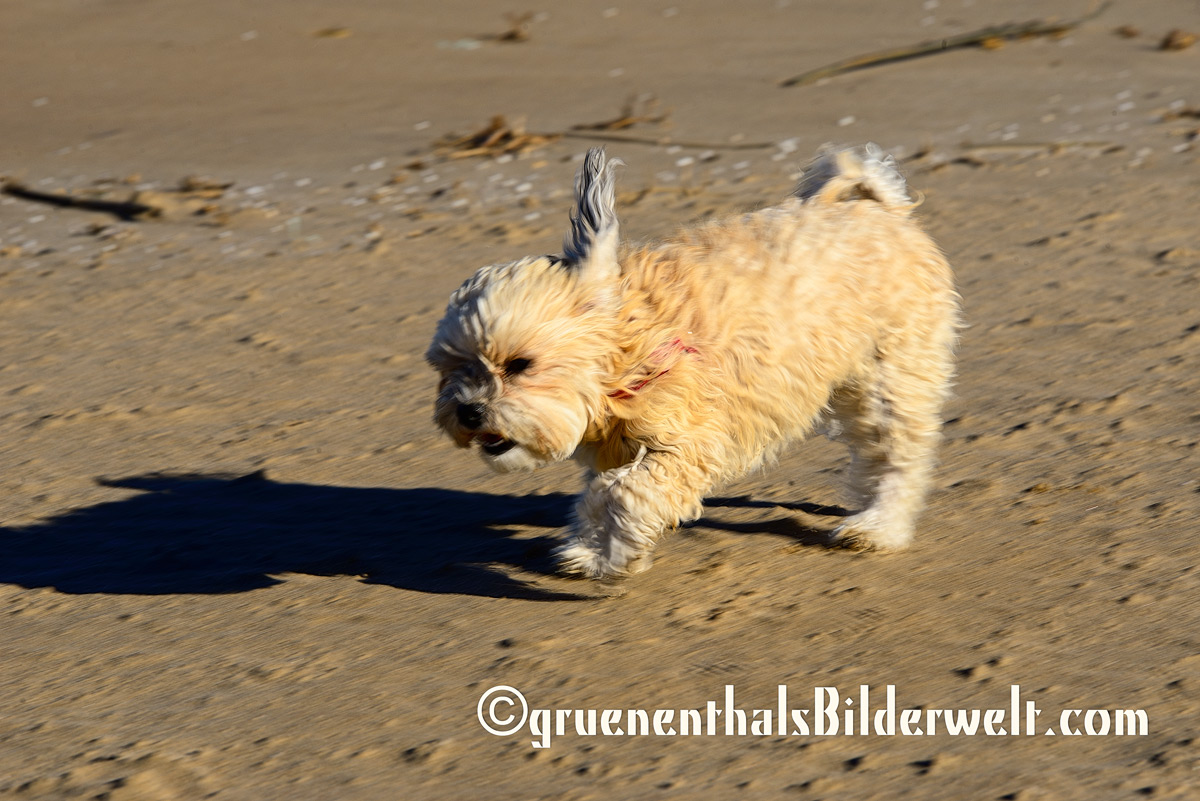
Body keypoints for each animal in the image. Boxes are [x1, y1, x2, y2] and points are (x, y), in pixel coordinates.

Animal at [427, 145, 960, 575]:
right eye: (450, 369)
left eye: (520, 364)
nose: (468, 411)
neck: (632, 343)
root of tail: (882, 211)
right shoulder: (621, 449)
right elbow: (598, 495)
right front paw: (592, 548)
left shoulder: (690, 443)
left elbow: (623, 493)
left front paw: (614, 556)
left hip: (892, 379)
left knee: (898, 458)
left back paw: (880, 526)